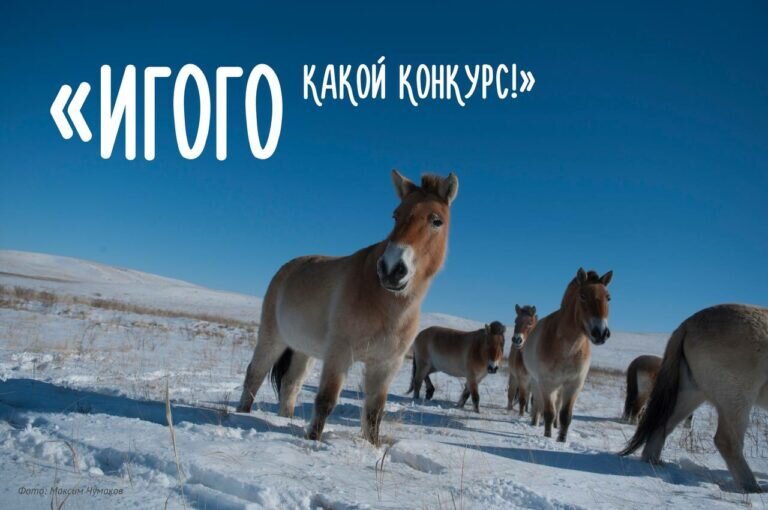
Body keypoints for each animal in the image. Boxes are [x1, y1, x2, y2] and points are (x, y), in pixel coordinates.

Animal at [236, 170, 459, 446]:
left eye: (437, 221)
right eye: (395, 215)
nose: (391, 269)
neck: (383, 303)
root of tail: (287, 268)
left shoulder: (385, 365)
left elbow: (374, 412)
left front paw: (372, 447)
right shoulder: (339, 355)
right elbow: (325, 401)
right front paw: (312, 441)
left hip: (304, 351)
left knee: (290, 384)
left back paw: (285, 419)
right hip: (272, 339)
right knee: (254, 375)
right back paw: (241, 415)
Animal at [522, 268, 613, 441]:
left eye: (608, 298)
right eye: (583, 296)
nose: (601, 333)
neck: (567, 350)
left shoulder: (574, 385)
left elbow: (565, 416)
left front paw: (561, 440)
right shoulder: (547, 384)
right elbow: (548, 413)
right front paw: (548, 437)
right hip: (537, 382)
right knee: (538, 404)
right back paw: (535, 422)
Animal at [621, 304, 768, 493]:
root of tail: (688, 324)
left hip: (690, 393)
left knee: (662, 424)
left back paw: (654, 462)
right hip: (736, 396)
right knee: (727, 440)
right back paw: (751, 487)